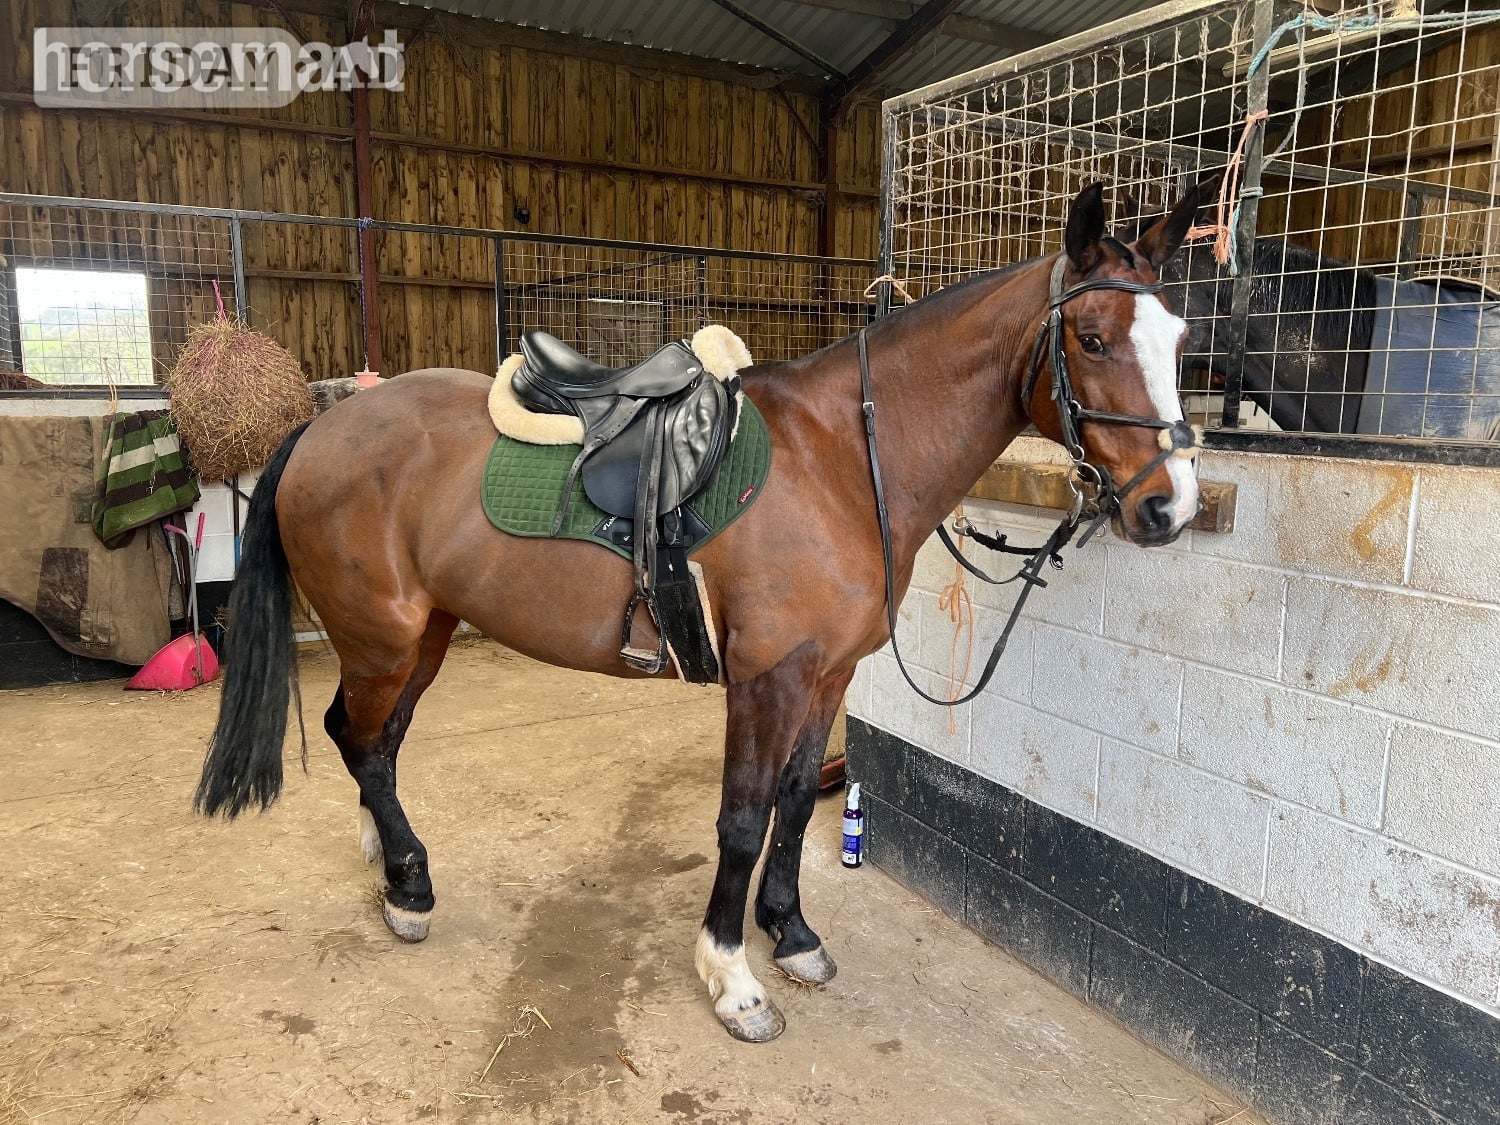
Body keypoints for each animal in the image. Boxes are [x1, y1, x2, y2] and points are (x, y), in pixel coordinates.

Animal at [193, 179, 1210, 1044]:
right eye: (1092, 339)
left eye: (1180, 340)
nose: (1170, 507)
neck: (840, 462)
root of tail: (320, 426)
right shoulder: (766, 678)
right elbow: (742, 817)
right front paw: (732, 976)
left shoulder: (826, 673)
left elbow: (796, 800)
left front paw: (790, 933)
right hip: (382, 636)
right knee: (359, 738)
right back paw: (410, 886)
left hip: (424, 637)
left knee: (377, 741)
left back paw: (391, 862)